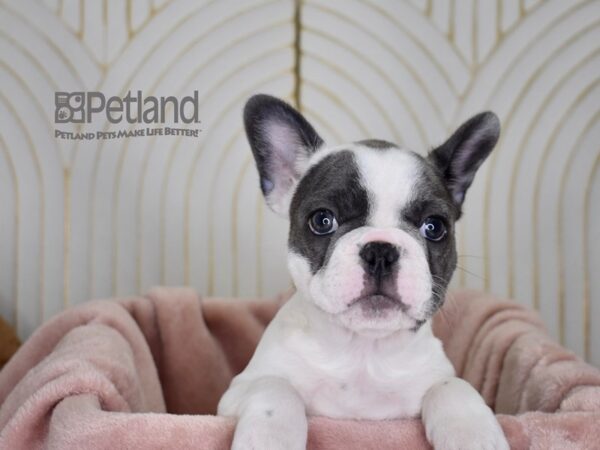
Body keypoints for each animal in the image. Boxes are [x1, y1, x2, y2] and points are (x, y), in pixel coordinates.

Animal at [218, 95, 508, 450]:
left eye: (434, 227)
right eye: (322, 220)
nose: (380, 251)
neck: (363, 352)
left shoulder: (435, 377)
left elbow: (454, 387)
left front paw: (474, 435)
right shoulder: (237, 391)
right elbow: (274, 387)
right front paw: (269, 438)